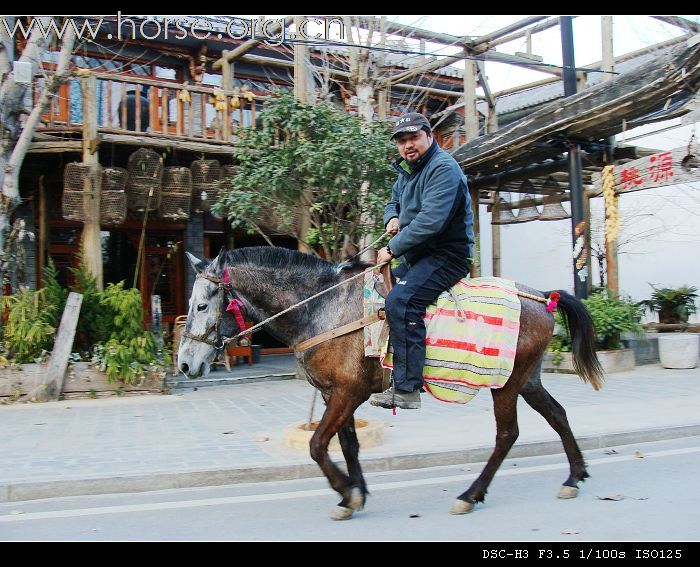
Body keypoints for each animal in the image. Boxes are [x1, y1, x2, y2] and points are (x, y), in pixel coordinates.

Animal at [175, 246, 600, 520]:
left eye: (202, 304)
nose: (183, 363)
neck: (321, 308)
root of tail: (542, 296)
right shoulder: (334, 393)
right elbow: (347, 444)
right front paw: (355, 494)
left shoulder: (348, 392)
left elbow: (317, 445)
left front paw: (346, 491)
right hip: (527, 378)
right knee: (557, 414)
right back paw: (574, 476)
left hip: (506, 384)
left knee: (507, 434)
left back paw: (471, 494)